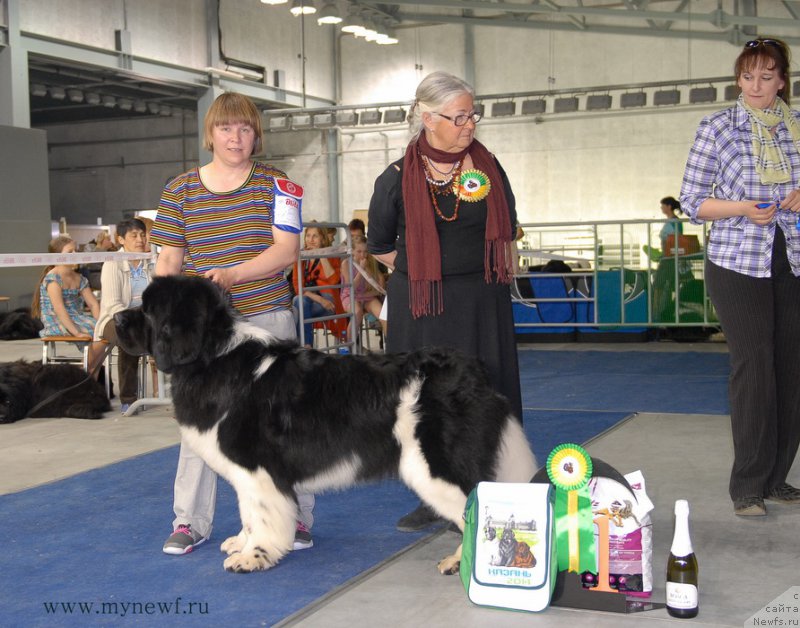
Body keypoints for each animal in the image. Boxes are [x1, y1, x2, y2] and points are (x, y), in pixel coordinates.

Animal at [114, 274, 536, 576]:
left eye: (149, 311)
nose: (116, 317)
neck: (212, 355)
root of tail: (473, 373)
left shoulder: (257, 470)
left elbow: (262, 513)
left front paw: (254, 556)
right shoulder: (250, 475)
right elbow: (249, 512)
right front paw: (242, 542)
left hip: (435, 465)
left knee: (474, 508)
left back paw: (461, 563)